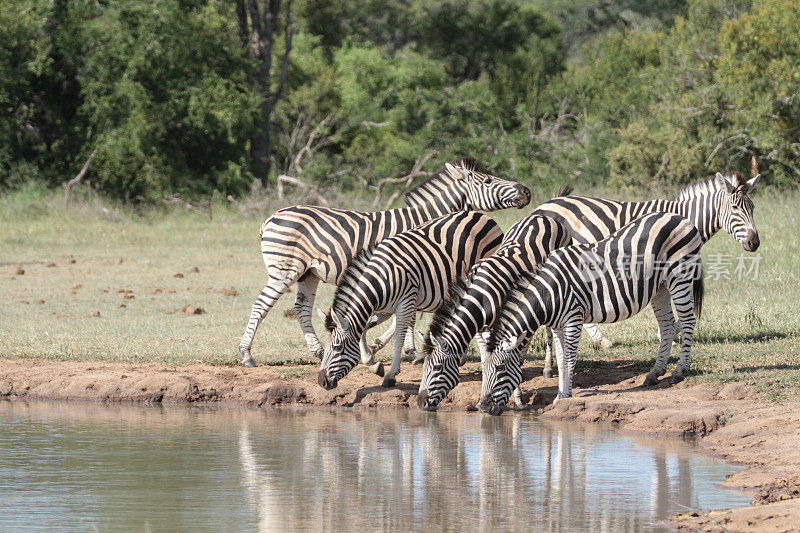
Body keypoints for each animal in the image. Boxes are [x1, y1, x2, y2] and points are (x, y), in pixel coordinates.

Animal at [238, 158, 532, 366]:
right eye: (489, 181)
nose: (527, 191)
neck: (429, 222)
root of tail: (270, 217)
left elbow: (409, 313)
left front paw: (390, 345)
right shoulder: (416, 267)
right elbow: (410, 314)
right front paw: (405, 349)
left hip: (307, 273)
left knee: (301, 308)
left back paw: (318, 351)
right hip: (284, 269)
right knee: (261, 304)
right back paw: (247, 355)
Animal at [316, 210, 504, 388]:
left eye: (337, 348)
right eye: (326, 347)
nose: (322, 382)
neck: (381, 278)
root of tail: (481, 215)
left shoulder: (405, 301)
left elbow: (398, 336)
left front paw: (390, 375)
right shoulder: (384, 308)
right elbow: (365, 327)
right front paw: (372, 363)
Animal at [412, 213, 576, 412]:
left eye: (436, 368)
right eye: (423, 368)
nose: (420, 403)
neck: (480, 297)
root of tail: (541, 216)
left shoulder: (499, 324)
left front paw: (517, 400)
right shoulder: (480, 330)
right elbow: (486, 361)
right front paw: (482, 399)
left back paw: (548, 368)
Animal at [478, 212, 704, 416]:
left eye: (500, 368)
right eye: (484, 368)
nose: (483, 406)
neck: (549, 292)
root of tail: (679, 217)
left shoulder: (573, 318)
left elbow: (570, 359)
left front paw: (566, 395)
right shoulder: (558, 326)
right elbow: (561, 359)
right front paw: (559, 396)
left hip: (680, 276)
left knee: (687, 320)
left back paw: (679, 371)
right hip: (660, 286)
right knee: (667, 325)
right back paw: (655, 373)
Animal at [536, 170, 760, 374]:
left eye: (753, 208)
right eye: (735, 208)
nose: (754, 242)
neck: (684, 218)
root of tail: (546, 203)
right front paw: (667, 337)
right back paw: (559, 360)